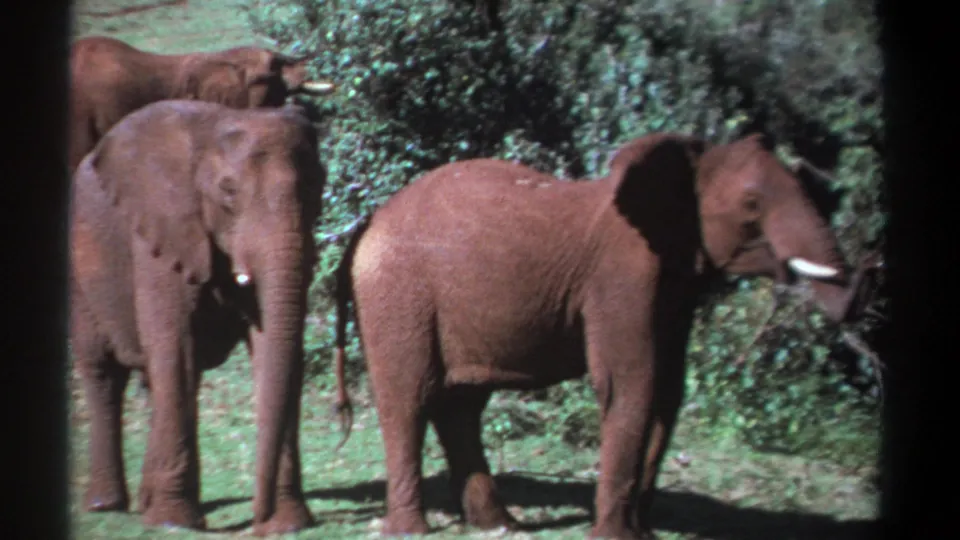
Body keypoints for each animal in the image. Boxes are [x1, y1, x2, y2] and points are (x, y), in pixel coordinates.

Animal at [70, 99, 325, 536]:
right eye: (228, 191)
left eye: (317, 186)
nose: (258, 520)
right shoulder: (161, 234)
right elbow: (175, 347)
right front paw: (175, 523)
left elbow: (272, 349)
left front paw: (288, 524)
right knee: (104, 372)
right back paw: (108, 505)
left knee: (154, 379)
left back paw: (147, 501)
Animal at [329, 132, 877, 539]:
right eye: (752, 204)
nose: (857, 297)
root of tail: (370, 221)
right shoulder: (623, 277)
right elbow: (630, 383)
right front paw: (617, 536)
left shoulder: (673, 287)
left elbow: (667, 391)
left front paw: (642, 533)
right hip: (398, 292)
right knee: (410, 398)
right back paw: (412, 529)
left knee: (461, 406)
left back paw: (501, 526)